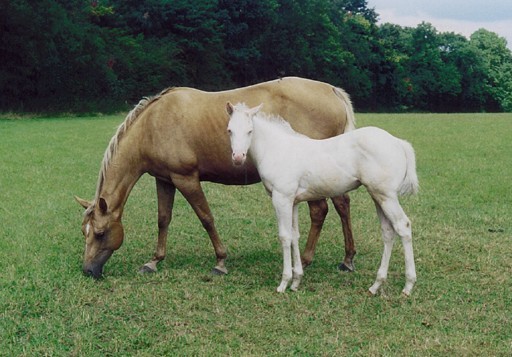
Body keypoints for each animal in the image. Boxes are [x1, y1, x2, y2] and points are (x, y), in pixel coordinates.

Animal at [75, 77, 356, 278]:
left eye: (100, 233)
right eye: (84, 232)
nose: (88, 271)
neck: (152, 125)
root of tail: (332, 91)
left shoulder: (186, 179)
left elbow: (206, 218)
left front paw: (220, 261)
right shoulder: (164, 180)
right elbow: (163, 219)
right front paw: (154, 261)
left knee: (319, 211)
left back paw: (306, 261)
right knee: (342, 206)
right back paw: (347, 259)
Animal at [226, 101, 418, 294]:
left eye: (250, 131)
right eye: (229, 130)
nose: (237, 158)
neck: (277, 149)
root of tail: (398, 143)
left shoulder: (281, 198)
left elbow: (285, 237)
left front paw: (284, 282)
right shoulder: (293, 202)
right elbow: (295, 235)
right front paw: (296, 281)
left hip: (386, 196)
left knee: (403, 226)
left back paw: (408, 286)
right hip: (378, 196)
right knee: (388, 231)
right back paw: (376, 285)